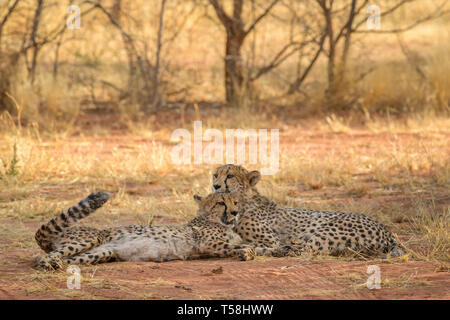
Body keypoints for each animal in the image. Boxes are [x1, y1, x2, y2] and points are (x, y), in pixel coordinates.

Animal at [34, 190, 256, 270]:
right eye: (221, 202)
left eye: (235, 202)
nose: (235, 212)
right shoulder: (207, 243)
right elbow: (248, 246)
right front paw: (246, 252)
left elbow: (244, 245)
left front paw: (244, 252)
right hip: (89, 239)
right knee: (42, 257)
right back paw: (47, 263)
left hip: (101, 253)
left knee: (68, 259)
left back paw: (57, 264)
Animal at [213, 165, 406, 258]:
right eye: (215, 175)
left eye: (230, 176)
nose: (215, 186)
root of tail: (387, 231)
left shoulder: (271, 239)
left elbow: (270, 244)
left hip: (328, 230)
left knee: (300, 250)